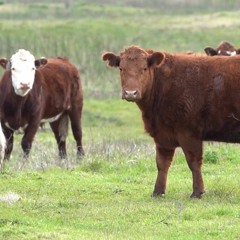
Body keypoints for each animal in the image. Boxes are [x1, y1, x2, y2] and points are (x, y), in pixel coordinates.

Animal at [103, 45, 240, 199]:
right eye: (121, 68)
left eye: (144, 68)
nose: (130, 93)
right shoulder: (163, 134)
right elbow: (162, 163)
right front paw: (158, 191)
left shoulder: (189, 133)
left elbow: (193, 162)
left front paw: (197, 192)